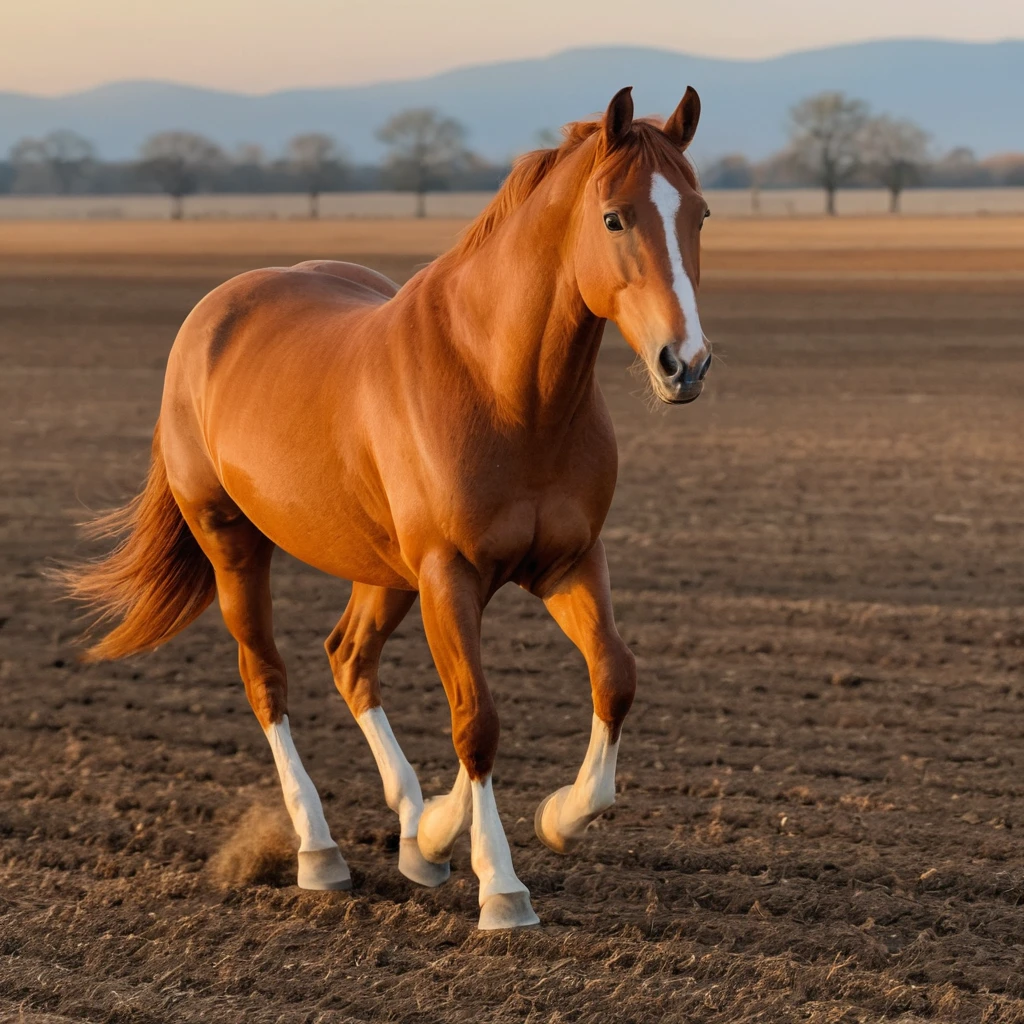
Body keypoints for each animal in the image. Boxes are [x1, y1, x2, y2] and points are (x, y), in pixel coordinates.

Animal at [60, 85, 712, 930]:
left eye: (699, 214)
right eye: (614, 218)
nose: (685, 364)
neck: (505, 389)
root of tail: (214, 314)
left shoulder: (569, 562)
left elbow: (614, 677)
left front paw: (523, 822)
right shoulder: (448, 576)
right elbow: (477, 720)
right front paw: (500, 888)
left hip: (380, 569)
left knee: (348, 658)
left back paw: (413, 827)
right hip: (233, 542)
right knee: (267, 678)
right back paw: (319, 852)